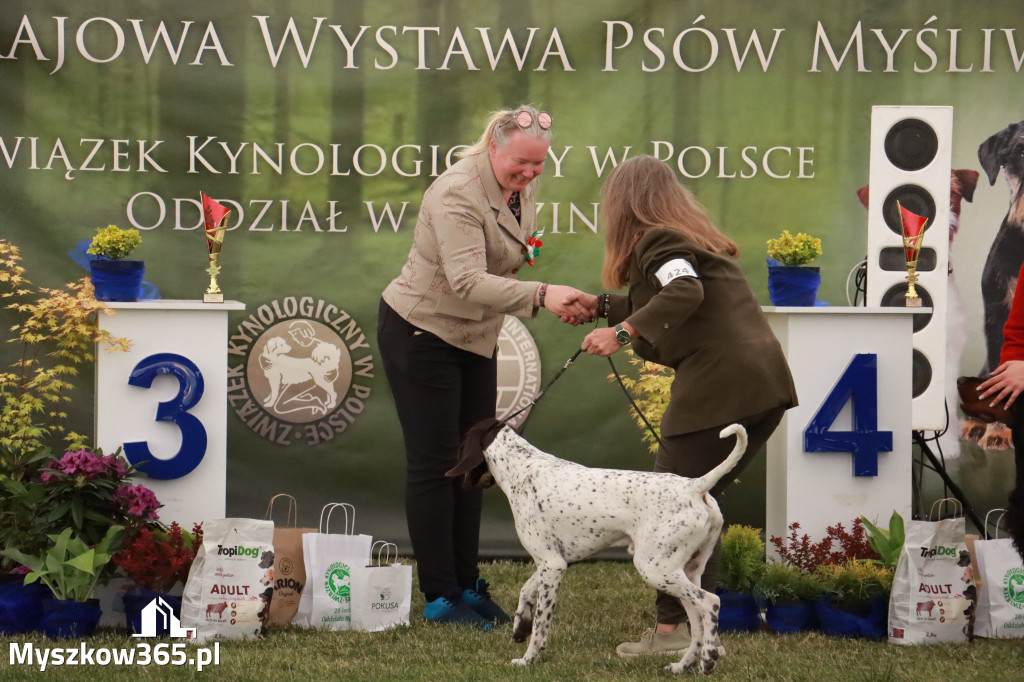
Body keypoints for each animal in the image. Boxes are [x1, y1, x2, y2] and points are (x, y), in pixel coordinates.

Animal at [444, 417, 749, 671]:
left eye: (460, 445)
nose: (457, 480)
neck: (524, 469)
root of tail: (695, 486)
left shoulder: (552, 565)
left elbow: (542, 624)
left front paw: (529, 658)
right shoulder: (551, 562)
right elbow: (525, 591)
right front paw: (520, 626)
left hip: (655, 569)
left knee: (710, 603)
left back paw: (708, 659)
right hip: (684, 571)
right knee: (697, 623)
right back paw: (682, 666)